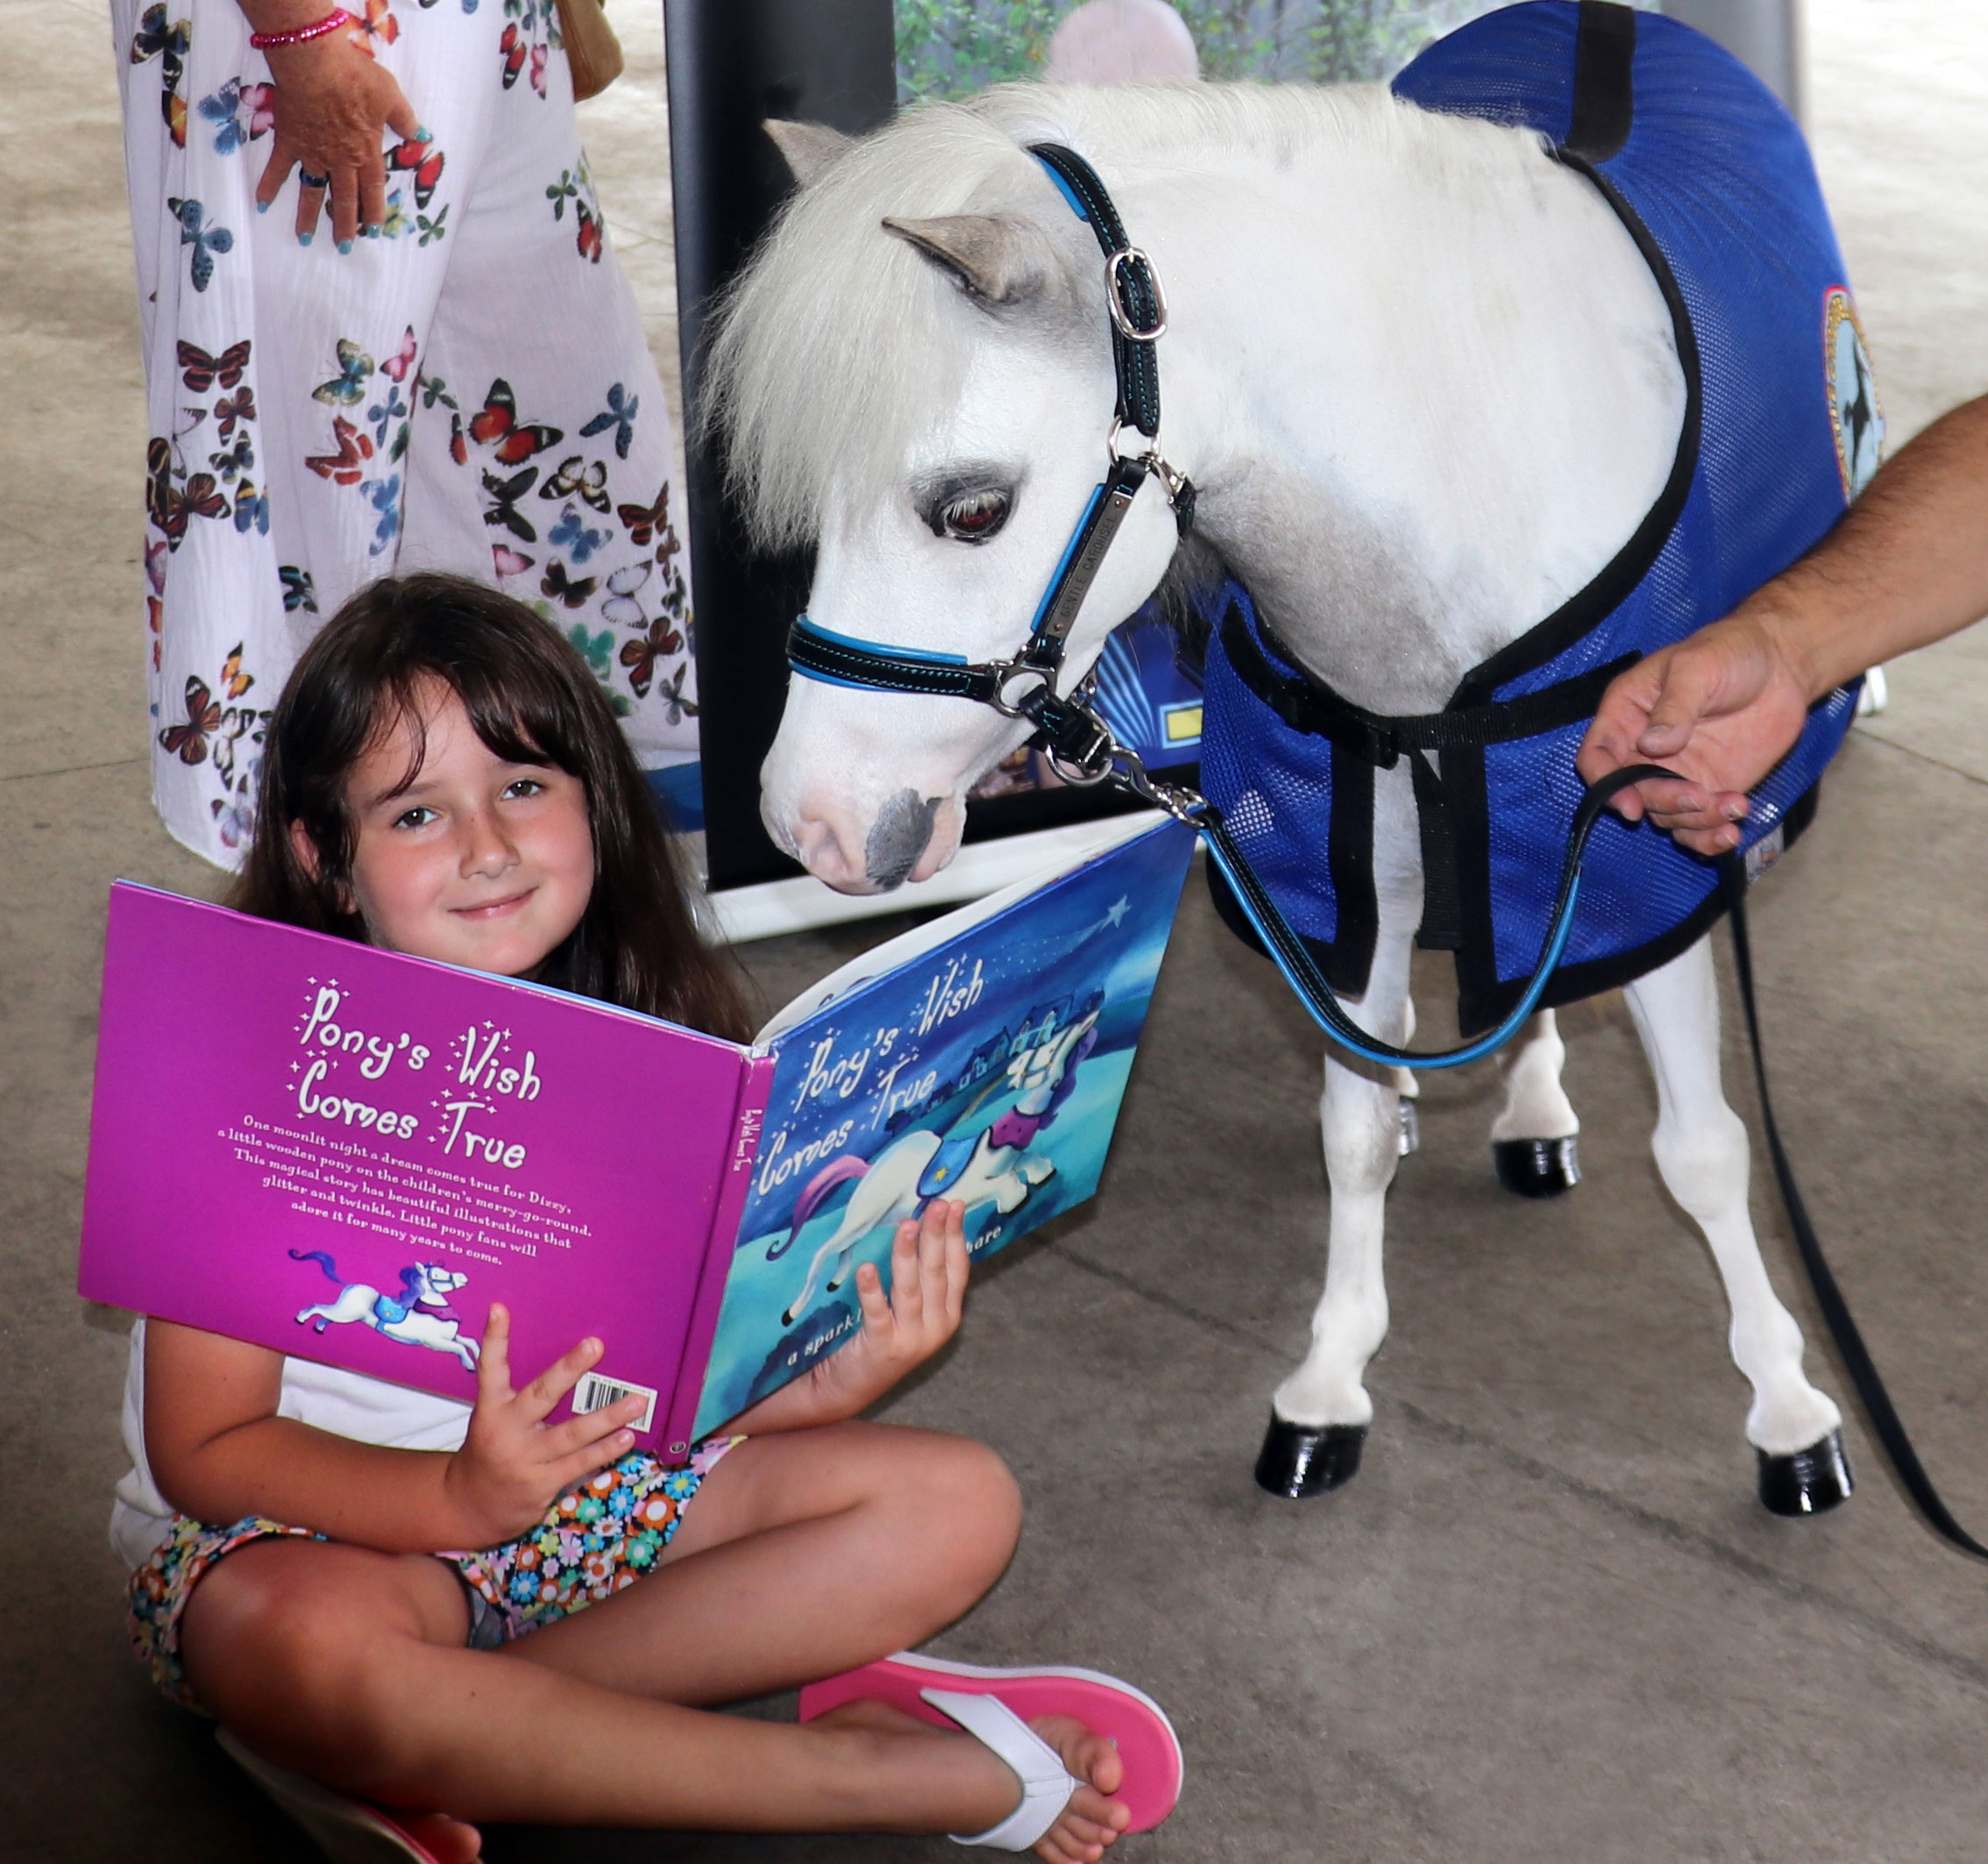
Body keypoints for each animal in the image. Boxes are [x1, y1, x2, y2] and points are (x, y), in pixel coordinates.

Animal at [711, 83, 1844, 1512]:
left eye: (970, 510)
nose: (810, 821)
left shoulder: (1644, 853)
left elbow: (1701, 1150)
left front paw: (1790, 1412)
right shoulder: (1348, 875)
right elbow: (1351, 1122)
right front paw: (1330, 1382)